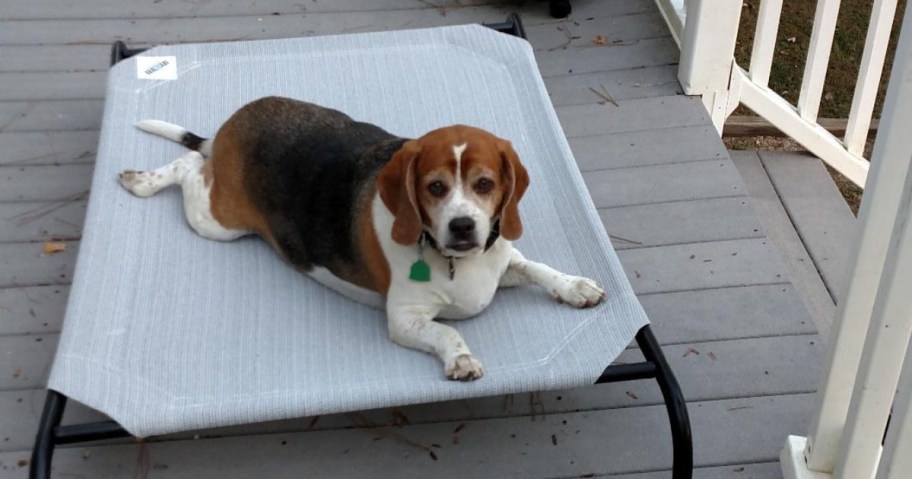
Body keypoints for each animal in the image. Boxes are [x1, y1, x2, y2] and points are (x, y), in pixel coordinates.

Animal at [121, 96, 604, 382]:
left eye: (484, 184)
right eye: (435, 187)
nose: (463, 226)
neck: (454, 261)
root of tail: (233, 122)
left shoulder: (501, 262)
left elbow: (539, 268)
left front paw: (575, 286)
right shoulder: (404, 320)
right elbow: (446, 331)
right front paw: (461, 358)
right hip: (218, 221)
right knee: (187, 165)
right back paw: (143, 180)